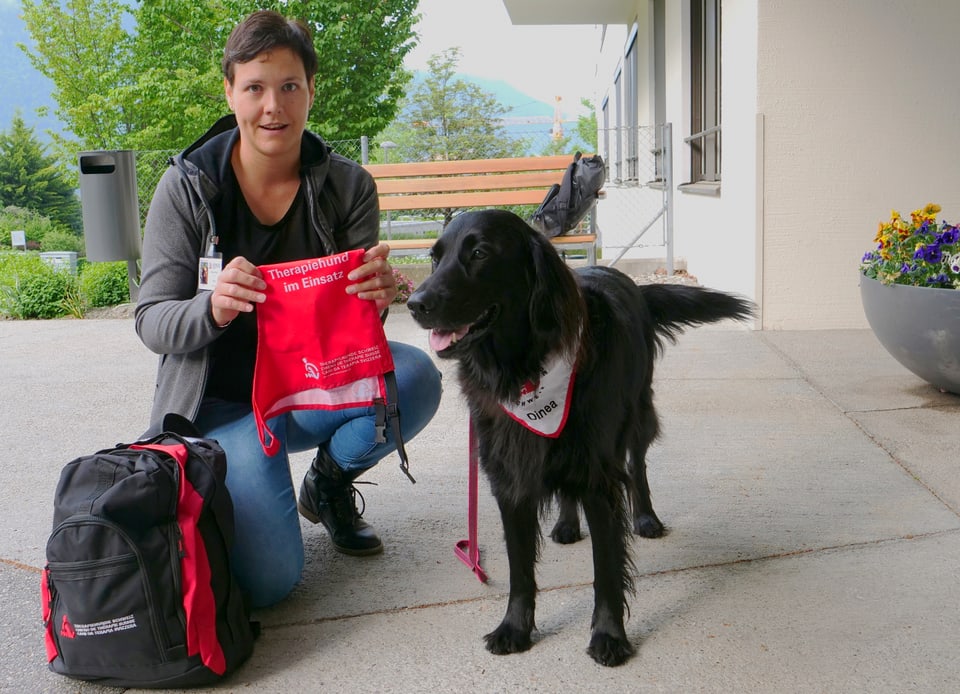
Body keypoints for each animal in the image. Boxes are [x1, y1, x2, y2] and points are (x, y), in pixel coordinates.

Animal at [408, 209, 752, 668]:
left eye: (479, 254)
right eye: (434, 257)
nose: (415, 303)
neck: (524, 370)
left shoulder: (599, 476)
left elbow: (606, 568)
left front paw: (609, 635)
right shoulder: (510, 475)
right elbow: (520, 568)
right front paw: (514, 628)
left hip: (638, 413)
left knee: (638, 465)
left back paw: (646, 517)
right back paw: (568, 524)